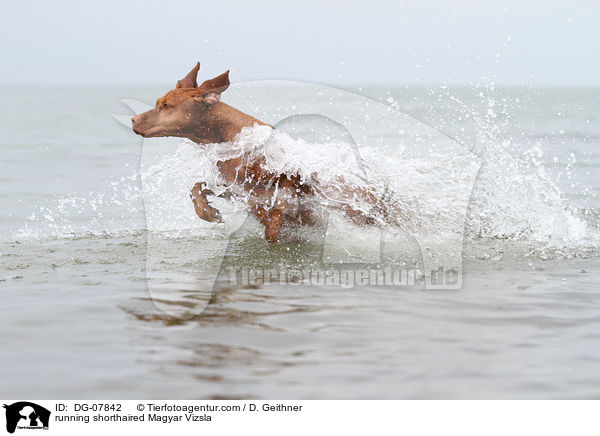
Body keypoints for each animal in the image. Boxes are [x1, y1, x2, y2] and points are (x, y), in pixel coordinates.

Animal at [133, 61, 382, 242]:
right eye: (158, 102)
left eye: (166, 106)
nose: (134, 120)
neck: (233, 138)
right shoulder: (233, 187)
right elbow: (197, 187)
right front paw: (207, 212)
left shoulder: (290, 177)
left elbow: (281, 203)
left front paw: (273, 227)